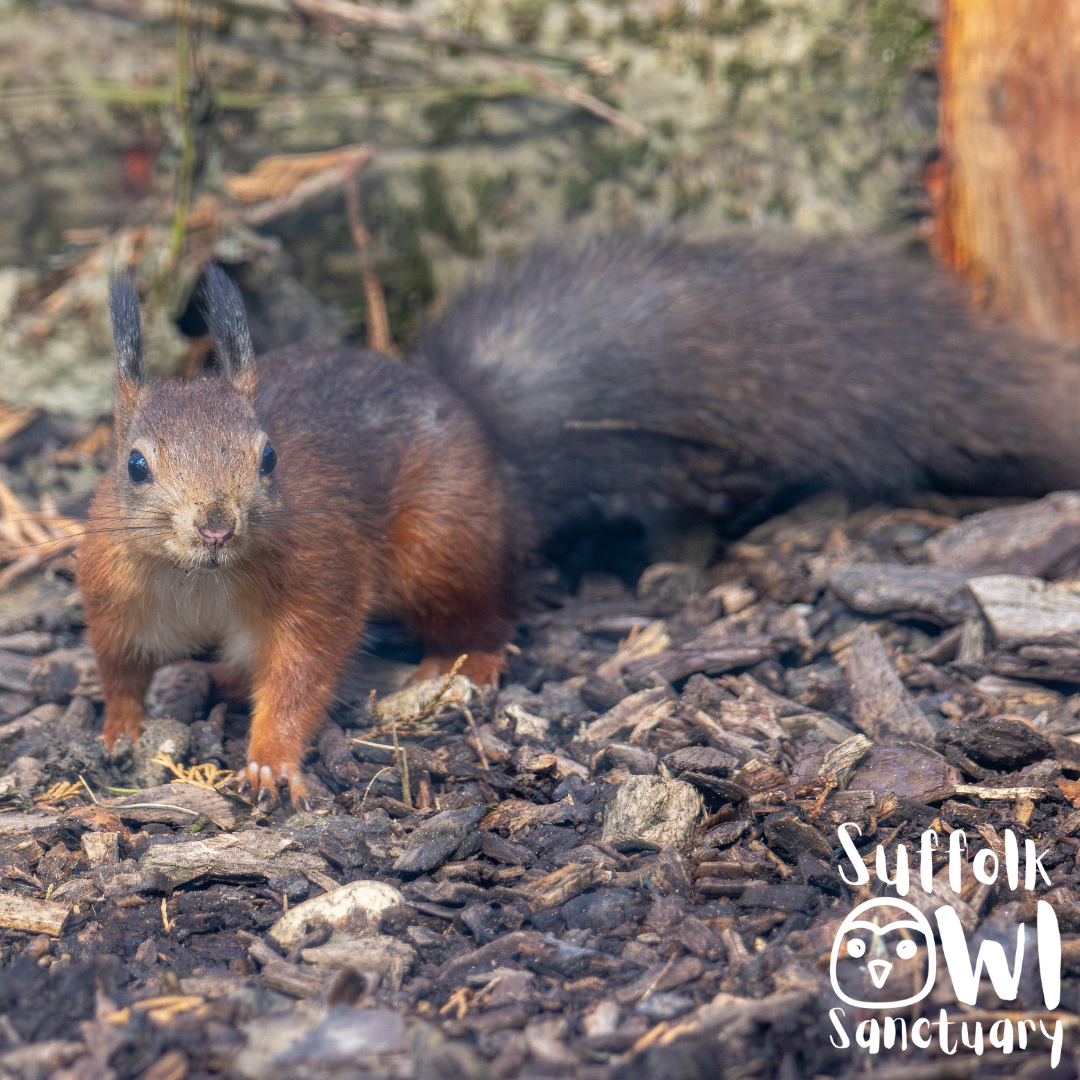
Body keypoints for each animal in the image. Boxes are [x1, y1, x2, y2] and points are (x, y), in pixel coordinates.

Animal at [78, 235, 1080, 809]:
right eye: (135, 463)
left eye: (269, 458)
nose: (216, 525)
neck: (202, 583)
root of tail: (488, 437)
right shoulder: (114, 599)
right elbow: (120, 668)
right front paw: (121, 729)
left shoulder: (316, 580)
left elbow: (303, 668)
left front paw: (270, 761)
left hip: (445, 546)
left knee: (487, 610)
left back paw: (463, 665)